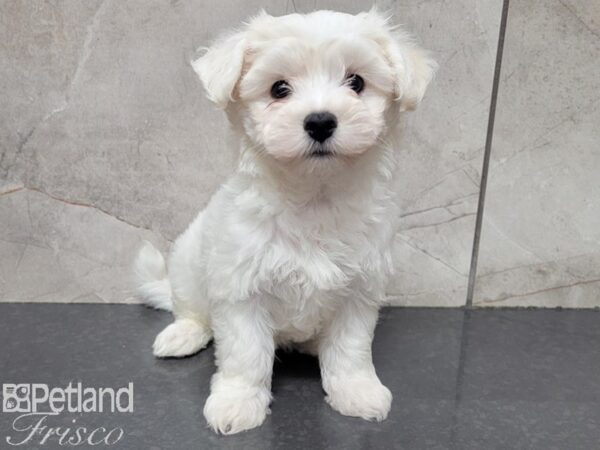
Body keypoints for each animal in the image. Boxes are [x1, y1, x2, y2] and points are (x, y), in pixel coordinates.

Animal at [136, 7, 436, 436]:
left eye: (356, 82)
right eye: (279, 89)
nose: (320, 122)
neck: (313, 198)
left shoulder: (360, 290)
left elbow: (350, 349)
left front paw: (356, 391)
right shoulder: (240, 290)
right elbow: (245, 353)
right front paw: (237, 403)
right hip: (187, 262)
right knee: (191, 307)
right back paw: (183, 334)